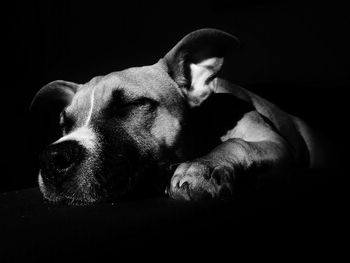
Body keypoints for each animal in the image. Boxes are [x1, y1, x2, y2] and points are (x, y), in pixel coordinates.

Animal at [30, 29, 320, 206]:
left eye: (131, 105)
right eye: (65, 124)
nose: (53, 158)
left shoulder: (275, 143)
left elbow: (237, 143)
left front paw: (201, 168)